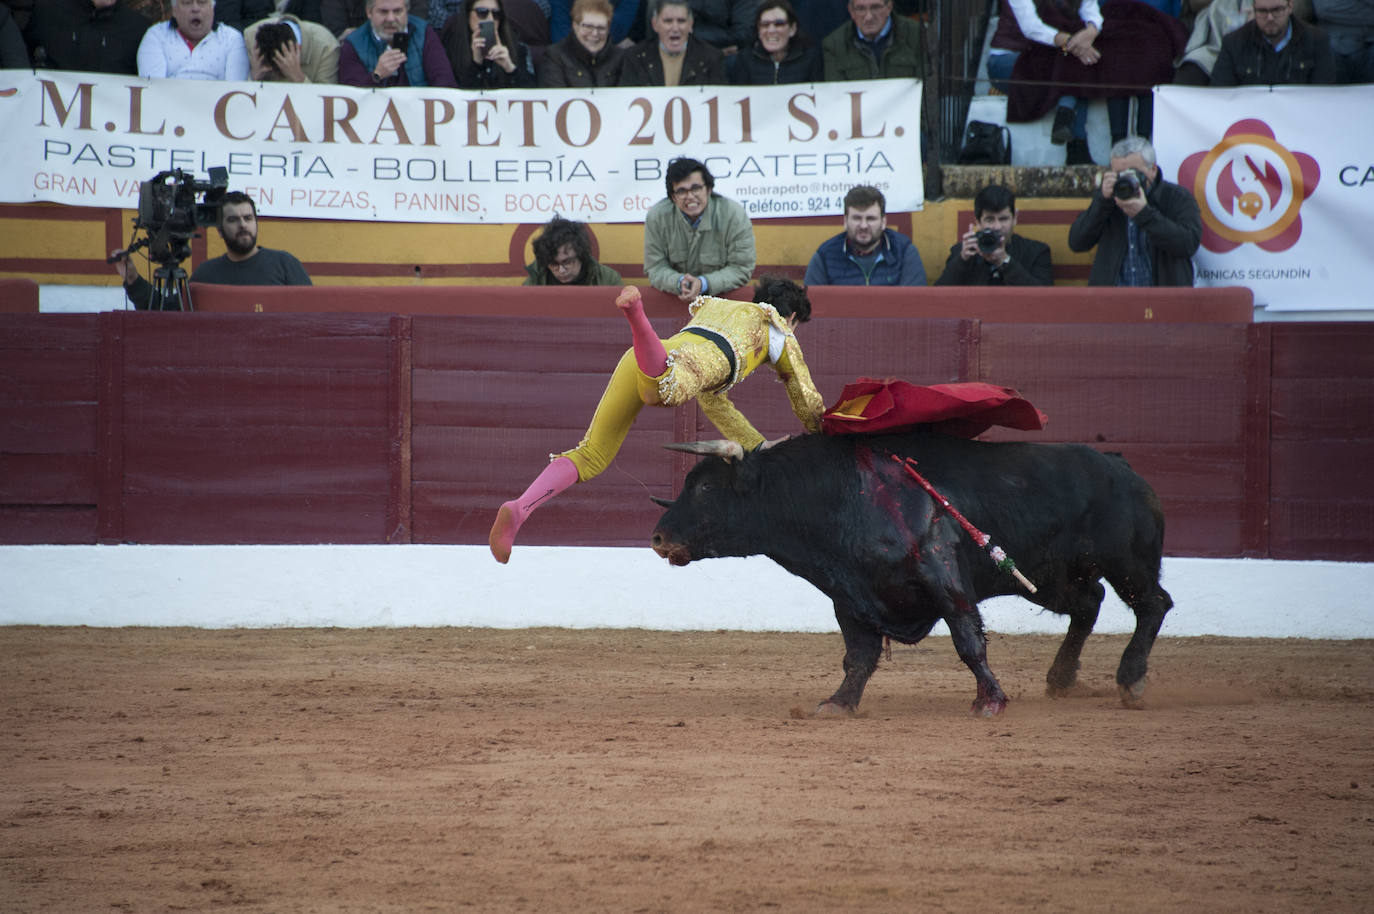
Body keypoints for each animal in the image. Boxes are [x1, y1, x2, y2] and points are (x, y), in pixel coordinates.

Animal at [648, 431, 1176, 714]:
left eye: (706, 488)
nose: (658, 537)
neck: (841, 493)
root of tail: (1121, 466)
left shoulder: (941, 572)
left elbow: (967, 639)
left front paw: (990, 700)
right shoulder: (850, 596)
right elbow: (858, 656)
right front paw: (838, 704)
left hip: (1126, 562)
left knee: (1153, 603)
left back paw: (1130, 680)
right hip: (1046, 577)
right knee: (1090, 604)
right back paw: (1062, 678)